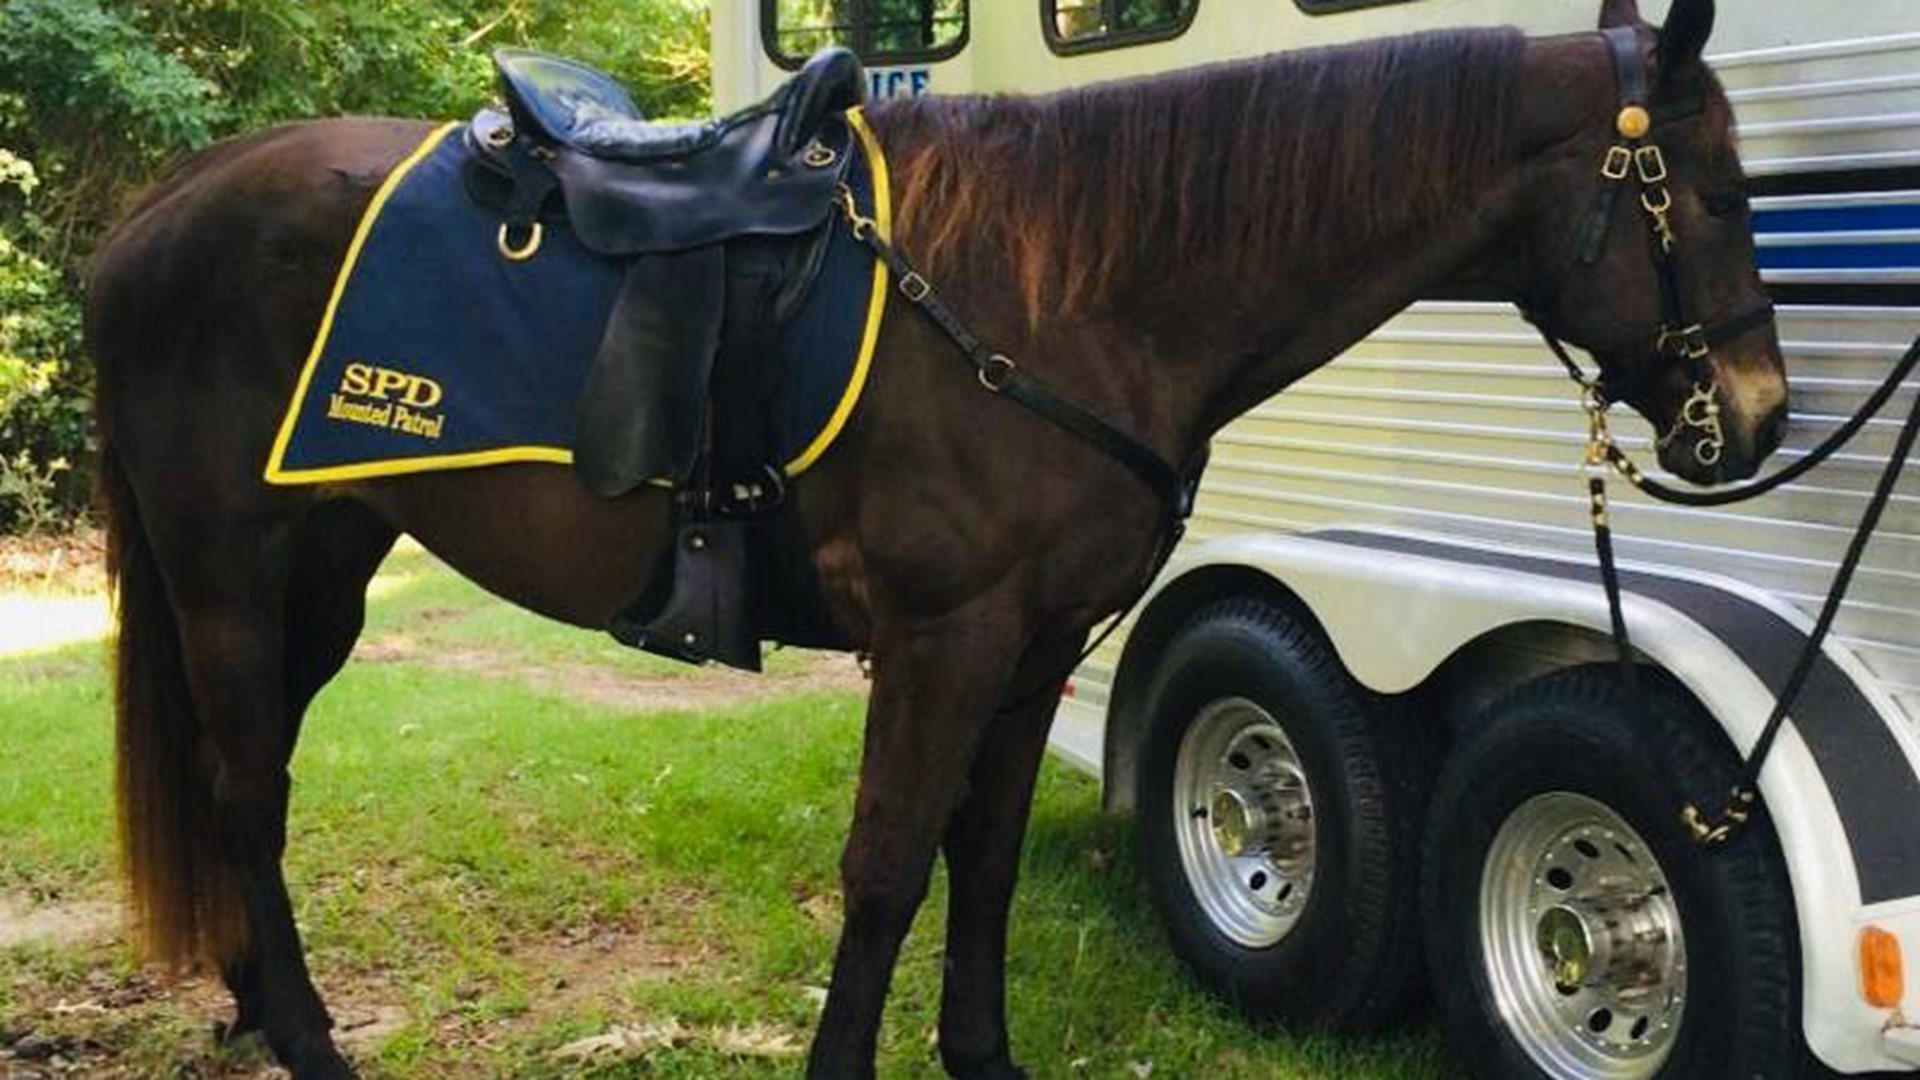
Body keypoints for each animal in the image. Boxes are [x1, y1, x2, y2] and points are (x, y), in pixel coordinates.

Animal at [85, 0, 1785, 1075]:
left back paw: (257, 1003)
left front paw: (982, 1054)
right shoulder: (940, 641)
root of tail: (164, 203)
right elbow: (890, 867)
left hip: (320, 578)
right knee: (245, 794)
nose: (1758, 419)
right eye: (1710, 191)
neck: (1072, 288)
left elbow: (981, 859)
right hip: (230, 576)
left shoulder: (1033, 650)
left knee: (249, 788)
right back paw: (307, 1037)